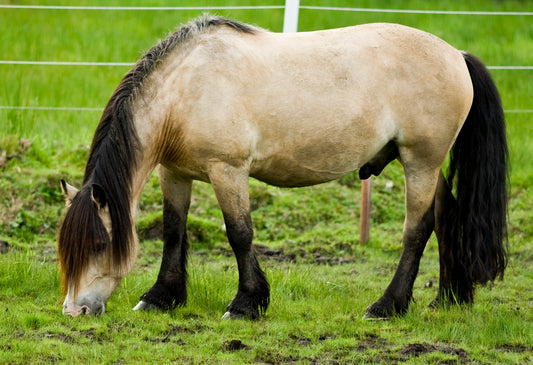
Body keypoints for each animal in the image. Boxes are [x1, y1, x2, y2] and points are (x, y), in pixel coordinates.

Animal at [58, 15, 508, 318]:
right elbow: (173, 232)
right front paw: (161, 297)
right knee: (446, 216)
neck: (187, 87)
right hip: (425, 165)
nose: (75, 311)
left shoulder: (228, 171)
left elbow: (239, 234)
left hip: (420, 162)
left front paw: (246, 303)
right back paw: (448, 299)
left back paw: (387, 306)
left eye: (98, 244)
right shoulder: (175, 173)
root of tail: (457, 55)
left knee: (417, 230)